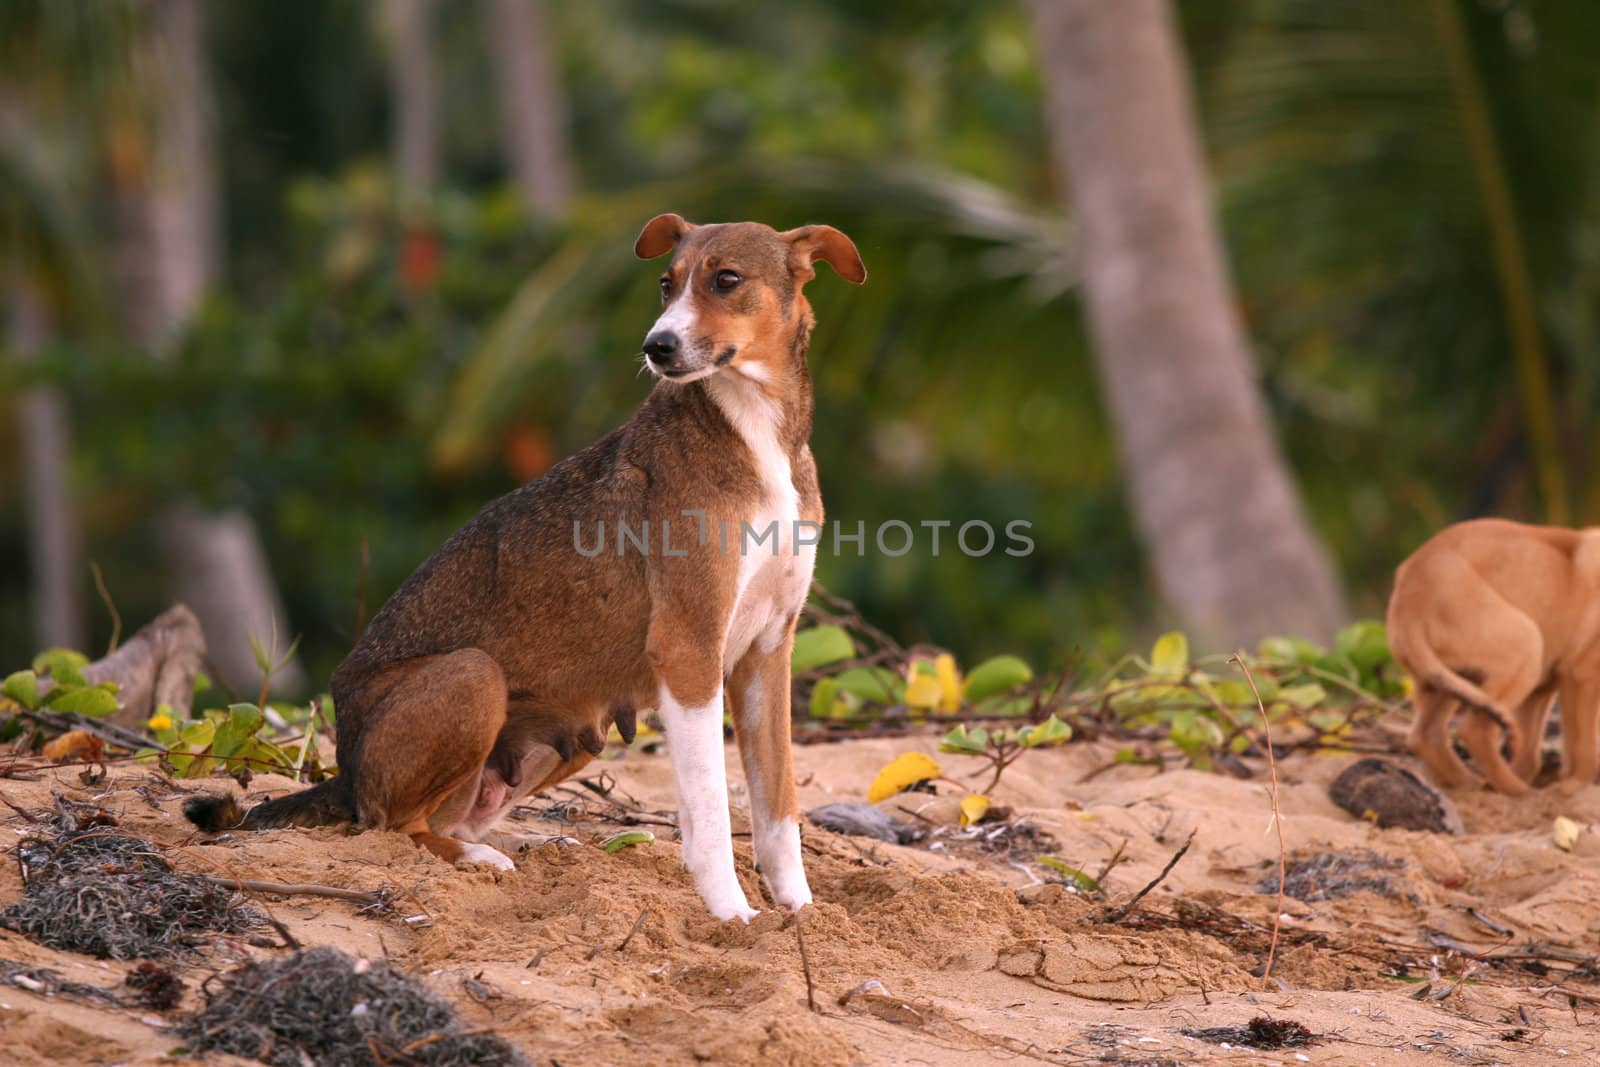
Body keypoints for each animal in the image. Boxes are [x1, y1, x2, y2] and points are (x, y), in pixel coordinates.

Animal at [184, 212, 864, 921]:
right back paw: (478, 858)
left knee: (444, 816)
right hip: (473, 676)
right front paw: (732, 915)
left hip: (575, 731)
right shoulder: (689, 649)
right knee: (390, 825)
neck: (754, 428)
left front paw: (801, 914)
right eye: (665, 284)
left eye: (726, 280)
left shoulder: (767, 653)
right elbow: (708, 814)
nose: (657, 347)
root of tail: (343, 766)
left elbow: (779, 809)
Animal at [1382, 511, 1600, 796]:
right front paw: (1577, 789)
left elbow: (1532, 753)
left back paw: (1475, 786)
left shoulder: (1544, 689)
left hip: (1447, 681)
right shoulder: (1582, 674)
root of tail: (1409, 596)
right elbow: (1584, 749)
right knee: (1476, 730)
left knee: (1425, 737)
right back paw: (1519, 793)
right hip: (1525, 648)